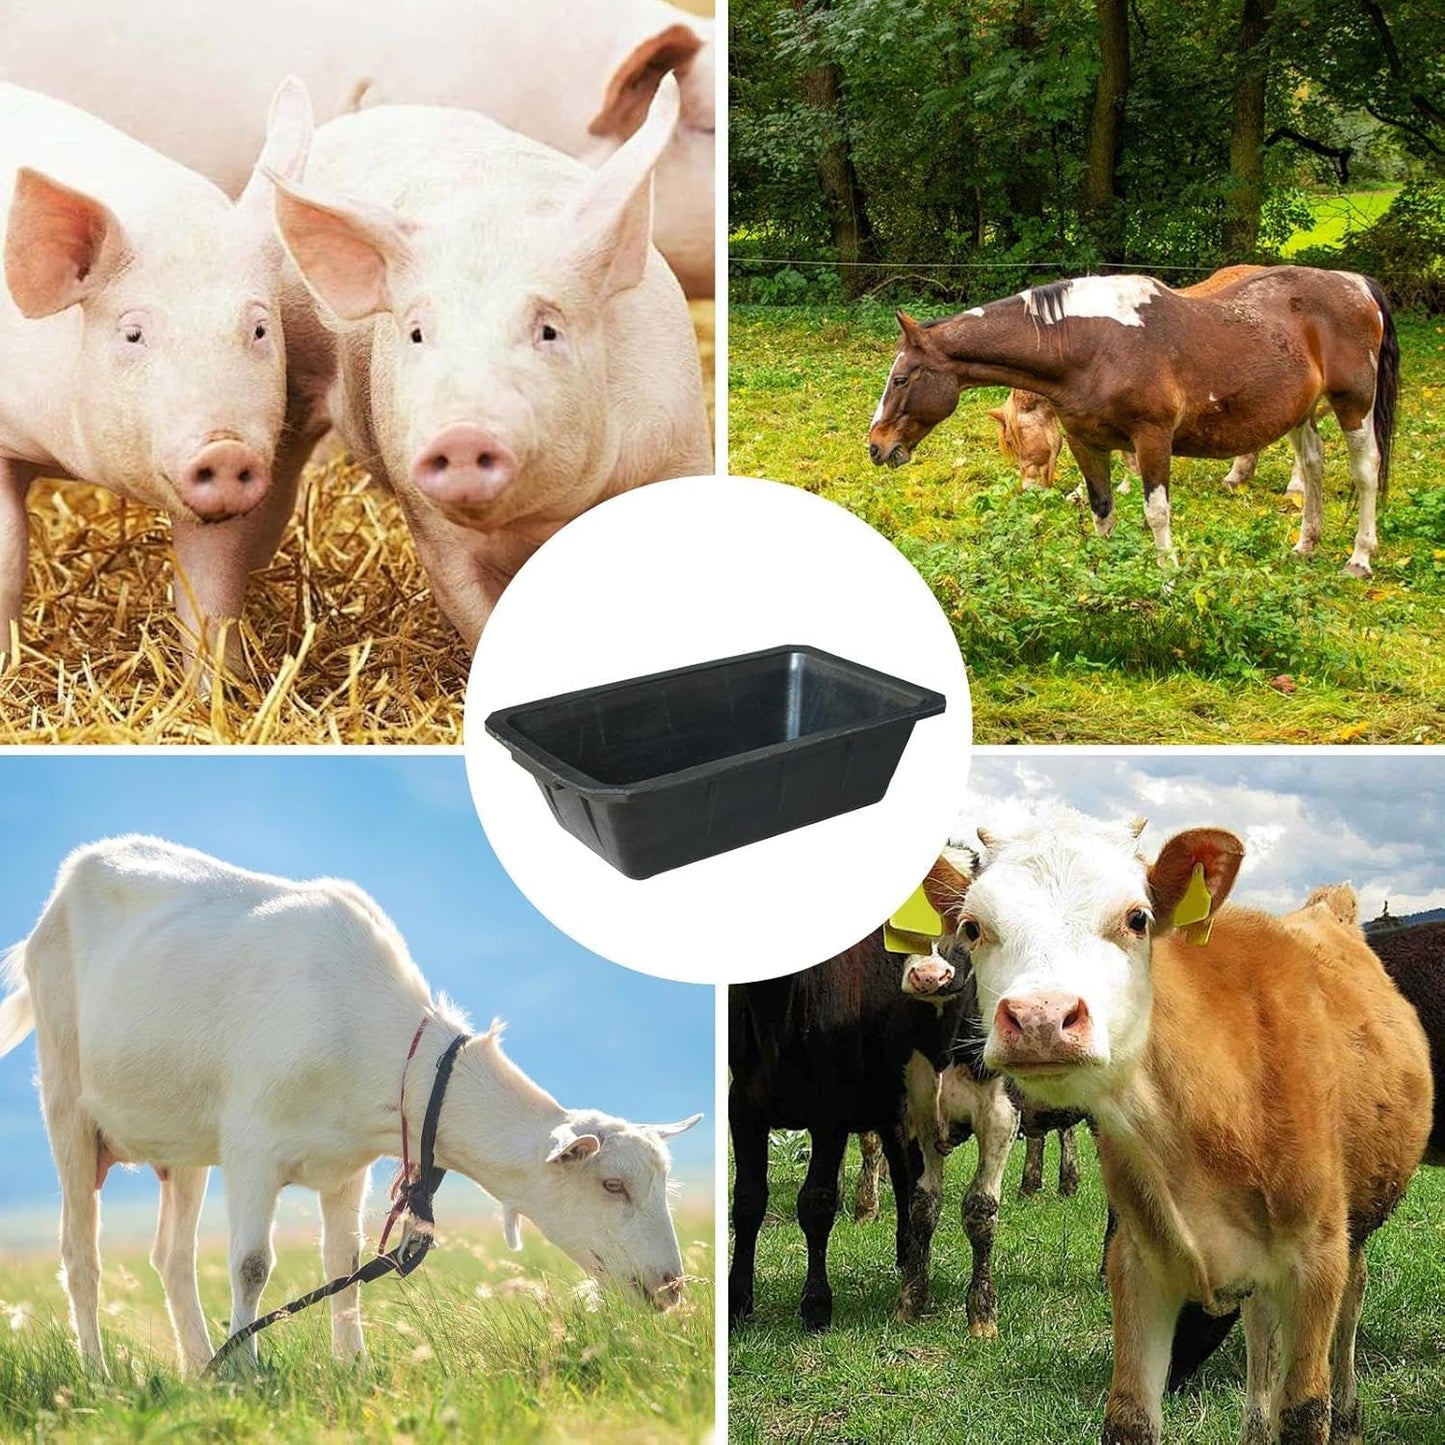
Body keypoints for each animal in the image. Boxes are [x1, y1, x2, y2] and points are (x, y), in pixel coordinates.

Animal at [868, 266, 1398, 577]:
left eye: (901, 378)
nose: (876, 445)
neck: (1089, 346)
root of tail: (1355, 283)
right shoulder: (1085, 442)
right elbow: (1101, 508)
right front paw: (1101, 574)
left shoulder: (1152, 439)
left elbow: (1156, 511)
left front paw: (1168, 576)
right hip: (1300, 412)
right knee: (1313, 466)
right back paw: (1305, 544)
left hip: (1353, 404)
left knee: (1365, 471)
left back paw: (1359, 557)